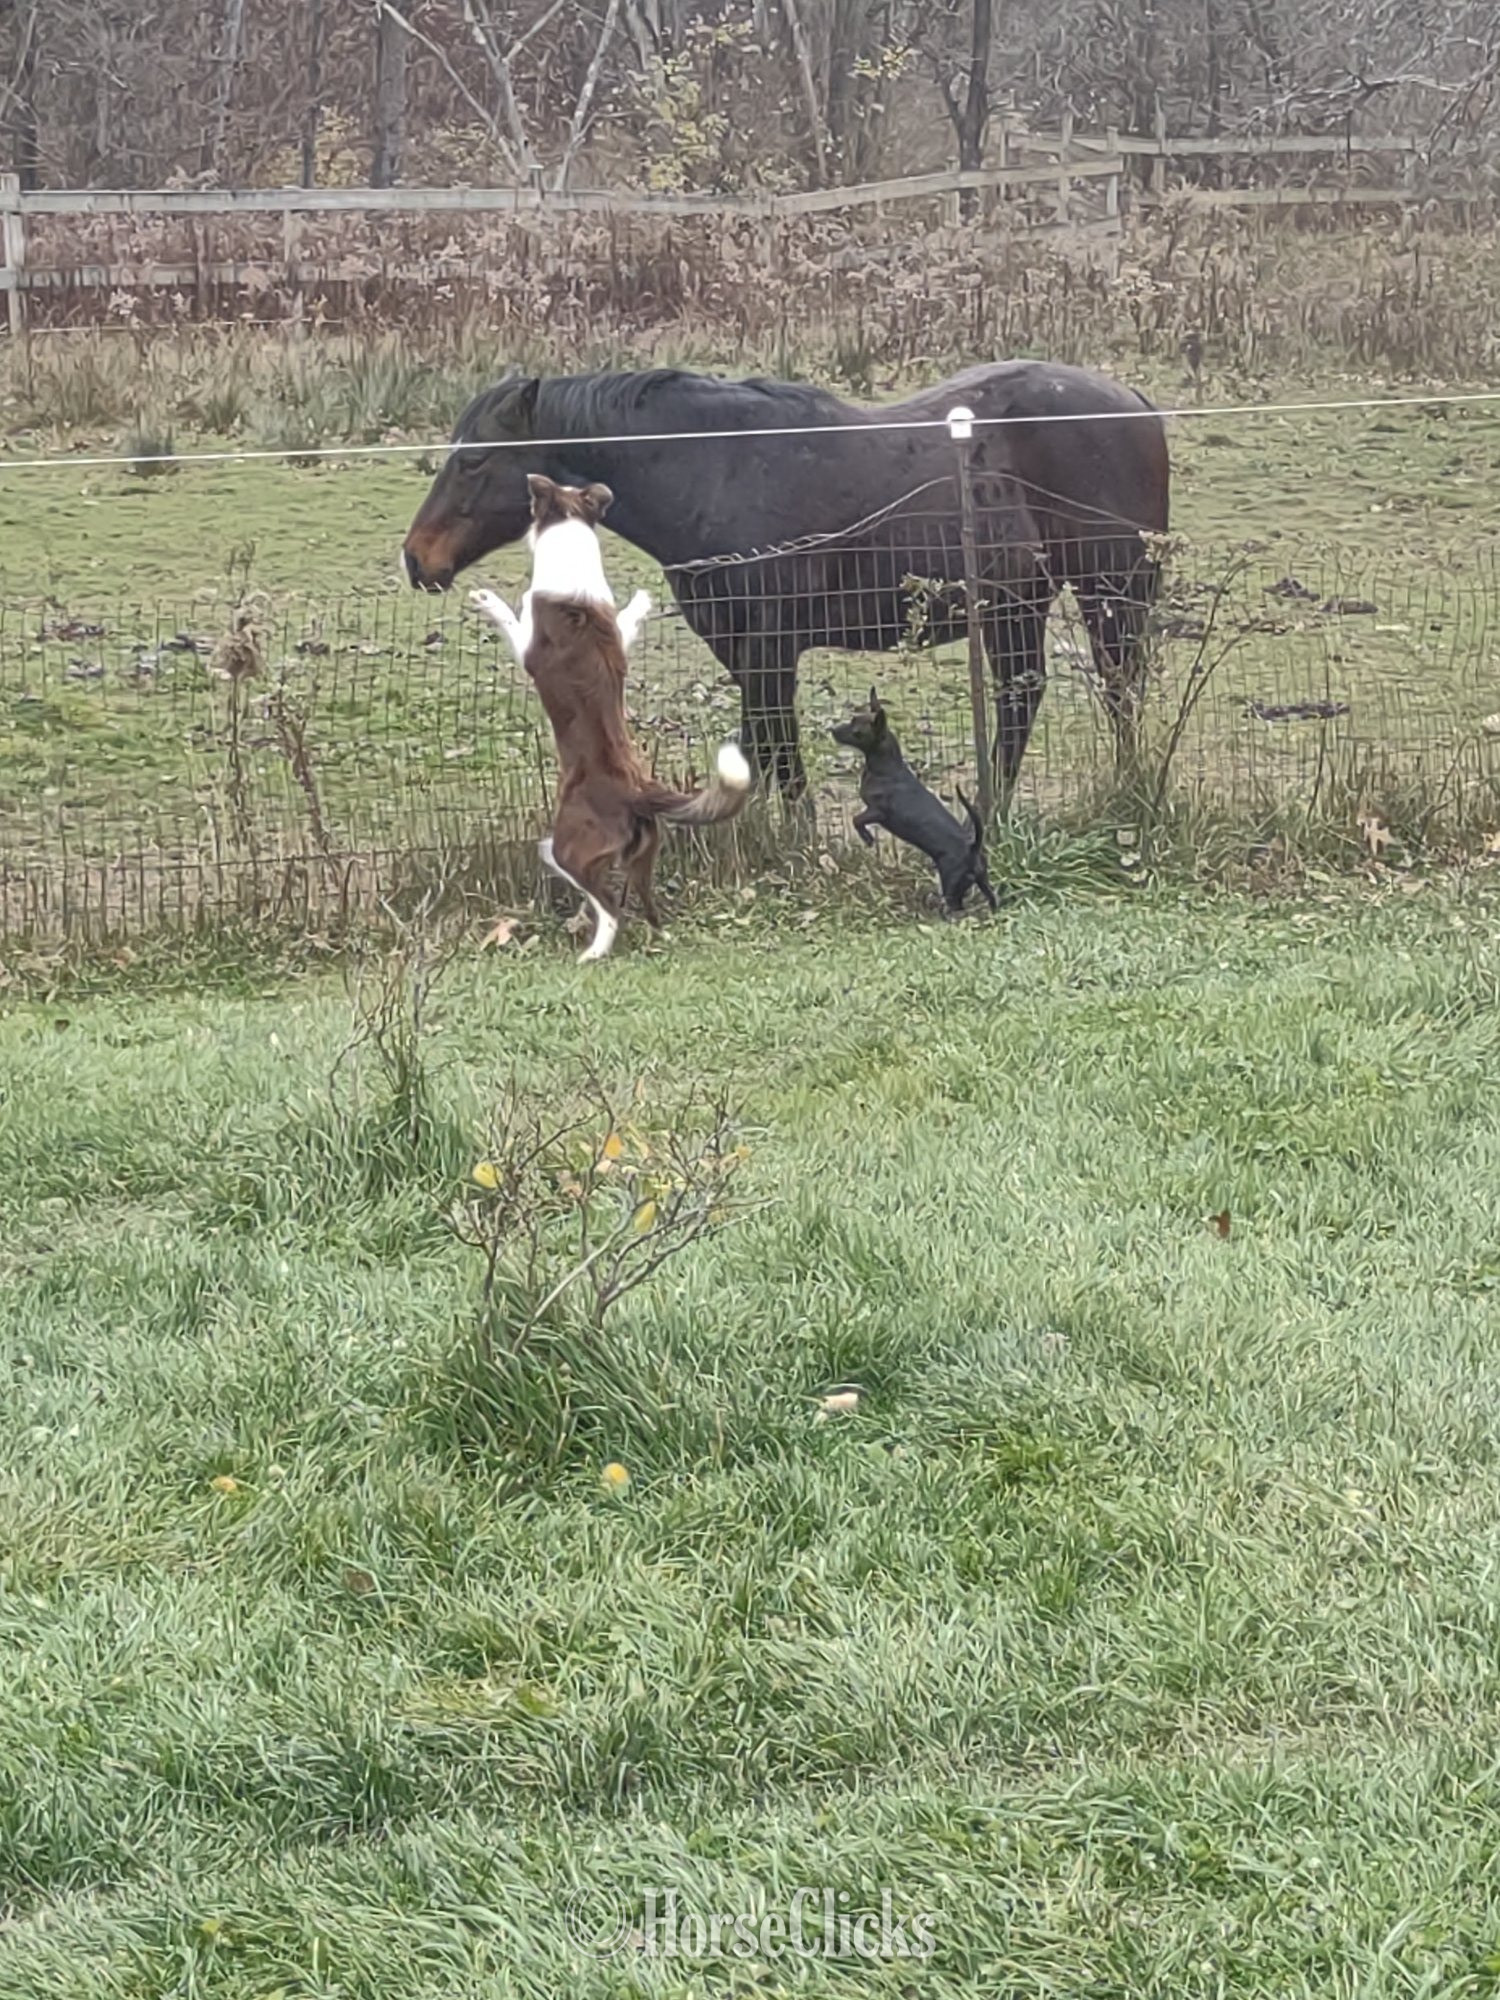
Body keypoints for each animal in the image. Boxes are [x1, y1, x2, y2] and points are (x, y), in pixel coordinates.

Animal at [403, 362, 1170, 802]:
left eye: (474, 461)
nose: (416, 558)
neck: (717, 467)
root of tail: (1134, 402)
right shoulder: (739, 648)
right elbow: (760, 749)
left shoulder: (771, 645)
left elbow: (781, 750)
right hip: (1016, 607)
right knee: (1022, 701)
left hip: (1108, 595)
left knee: (1118, 691)